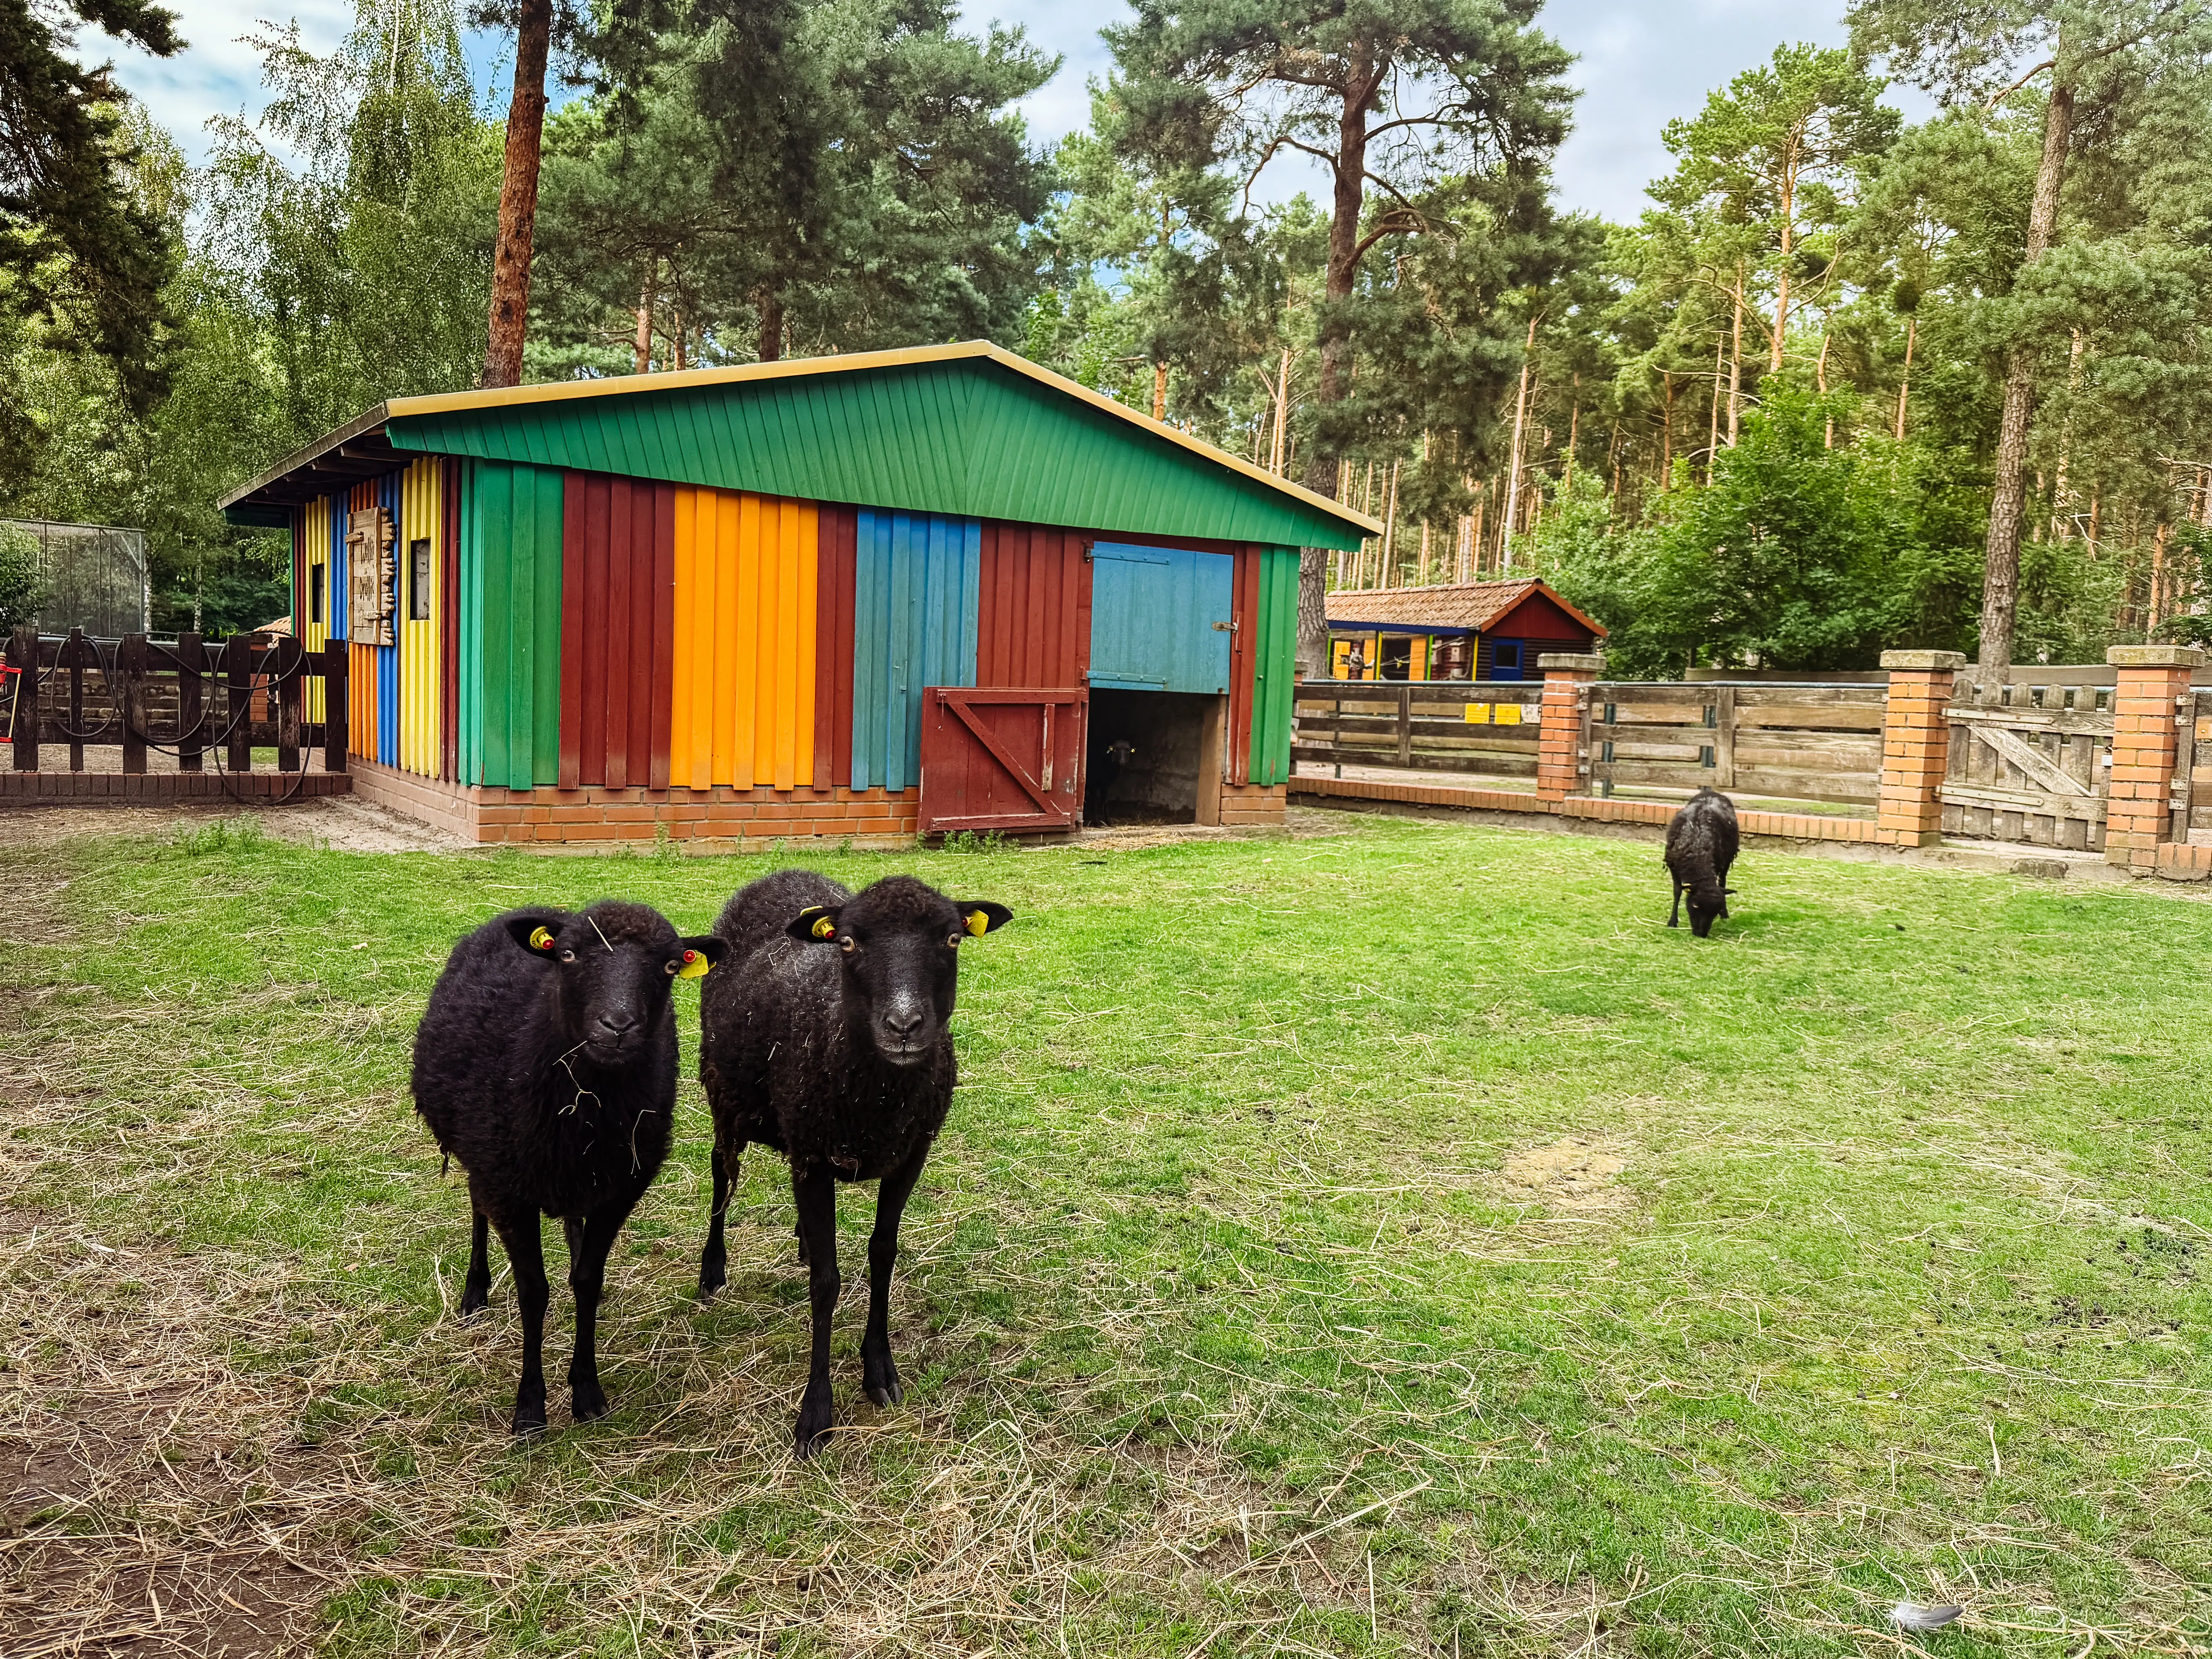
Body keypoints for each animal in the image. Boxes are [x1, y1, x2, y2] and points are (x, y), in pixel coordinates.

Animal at [411, 901, 726, 1435]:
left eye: (669, 966)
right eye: (568, 955)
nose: (617, 1025)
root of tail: (531, 910)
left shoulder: (619, 1189)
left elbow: (586, 1280)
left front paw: (586, 1391)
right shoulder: (507, 1186)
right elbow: (533, 1292)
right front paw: (529, 1408)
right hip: (481, 1153)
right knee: (476, 1206)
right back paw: (475, 1290)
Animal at [694, 870, 1011, 1456]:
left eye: (952, 938)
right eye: (846, 942)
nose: (904, 1024)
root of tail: (780, 874)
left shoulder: (910, 1153)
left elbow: (881, 1254)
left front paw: (879, 1369)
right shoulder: (814, 1158)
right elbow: (826, 1281)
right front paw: (815, 1413)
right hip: (724, 1094)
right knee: (722, 1171)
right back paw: (712, 1269)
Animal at [1665, 786, 1740, 937]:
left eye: (1715, 912)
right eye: (1695, 906)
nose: (1701, 935)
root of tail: (1710, 792)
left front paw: (1723, 912)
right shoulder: (1674, 867)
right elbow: (1677, 892)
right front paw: (1673, 922)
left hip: (1726, 861)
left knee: (1722, 883)